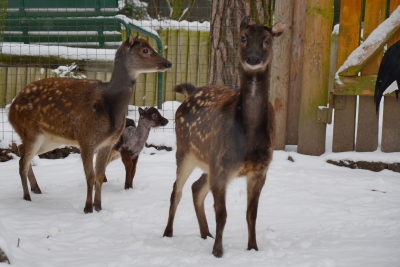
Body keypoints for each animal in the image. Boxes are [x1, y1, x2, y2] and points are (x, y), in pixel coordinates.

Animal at [8, 36, 172, 216]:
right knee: (22, 162)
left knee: (22, 151)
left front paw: (99, 207)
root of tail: (11, 109)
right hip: (31, 131)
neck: (110, 104)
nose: (168, 63)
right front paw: (87, 208)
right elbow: (90, 176)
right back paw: (27, 197)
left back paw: (36, 189)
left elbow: (100, 175)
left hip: (49, 139)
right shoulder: (86, 139)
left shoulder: (108, 143)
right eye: (145, 50)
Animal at [162, 17, 284, 260]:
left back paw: (205, 233)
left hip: (208, 161)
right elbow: (223, 214)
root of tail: (189, 92)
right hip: (185, 150)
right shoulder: (222, 165)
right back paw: (168, 232)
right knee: (176, 190)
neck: (248, 138)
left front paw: (253, 248)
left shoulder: (260, 169)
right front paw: (218, 251)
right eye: (243, 38)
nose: (253, 58)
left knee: (196, 187)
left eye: (267, 40)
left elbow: (251, 213)